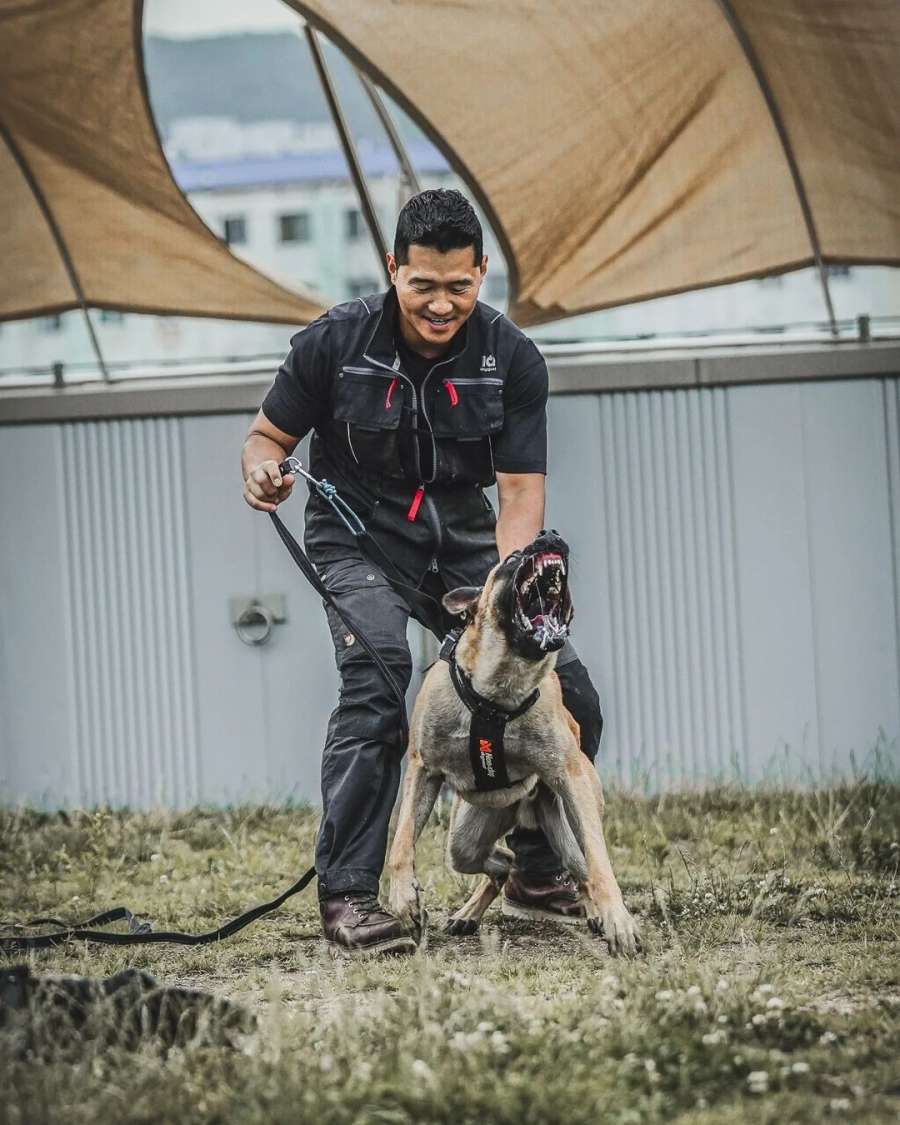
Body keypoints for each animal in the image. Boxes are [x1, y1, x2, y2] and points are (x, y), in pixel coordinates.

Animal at [389, 531, 643, 954]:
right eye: (509, 559)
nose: (549, 535)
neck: (499, 690)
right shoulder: (422, 769)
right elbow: (402, 840)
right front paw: (403, 897)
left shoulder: (569, 777)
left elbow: (601, 865)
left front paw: (618, 921)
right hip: (464, 841)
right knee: (504, 861)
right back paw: (468, 913)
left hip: (567, 824)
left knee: (580, 869)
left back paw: (593, 912)